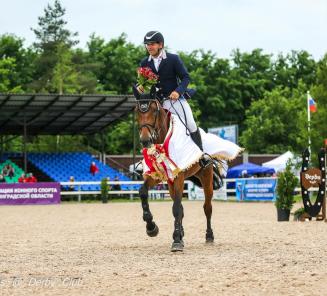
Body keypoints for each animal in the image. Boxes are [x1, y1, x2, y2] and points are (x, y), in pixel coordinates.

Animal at [133, 86, 215, 252]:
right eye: (137, 111)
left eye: (154, 111)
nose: (145, 140)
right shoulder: (157, 175)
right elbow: (143, 192)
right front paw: (151, 227)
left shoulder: (179, 177)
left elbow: (176, 208)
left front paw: (176, 240)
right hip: (170, 184)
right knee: (181, 208)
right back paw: (182, 233)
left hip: (206, 178)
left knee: (207, 207)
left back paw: (209, 236)